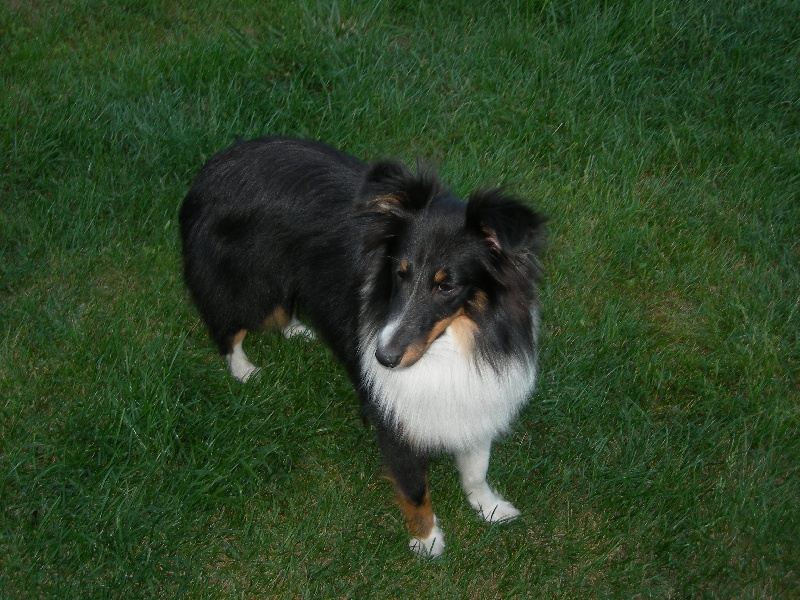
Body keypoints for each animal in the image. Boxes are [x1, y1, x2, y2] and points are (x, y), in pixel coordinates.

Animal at [179, 137, 547, 556]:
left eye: (446, 285)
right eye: (399, 273)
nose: (382, 359)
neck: (452, 343)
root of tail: (215, 165)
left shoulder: (478, 402)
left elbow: (475, 467)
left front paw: (490, 508)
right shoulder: (393, 418)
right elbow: (414, 487)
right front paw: (426, 541)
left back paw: (297, 330)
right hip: (250, 283)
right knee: (228, 326)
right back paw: (244, 370)